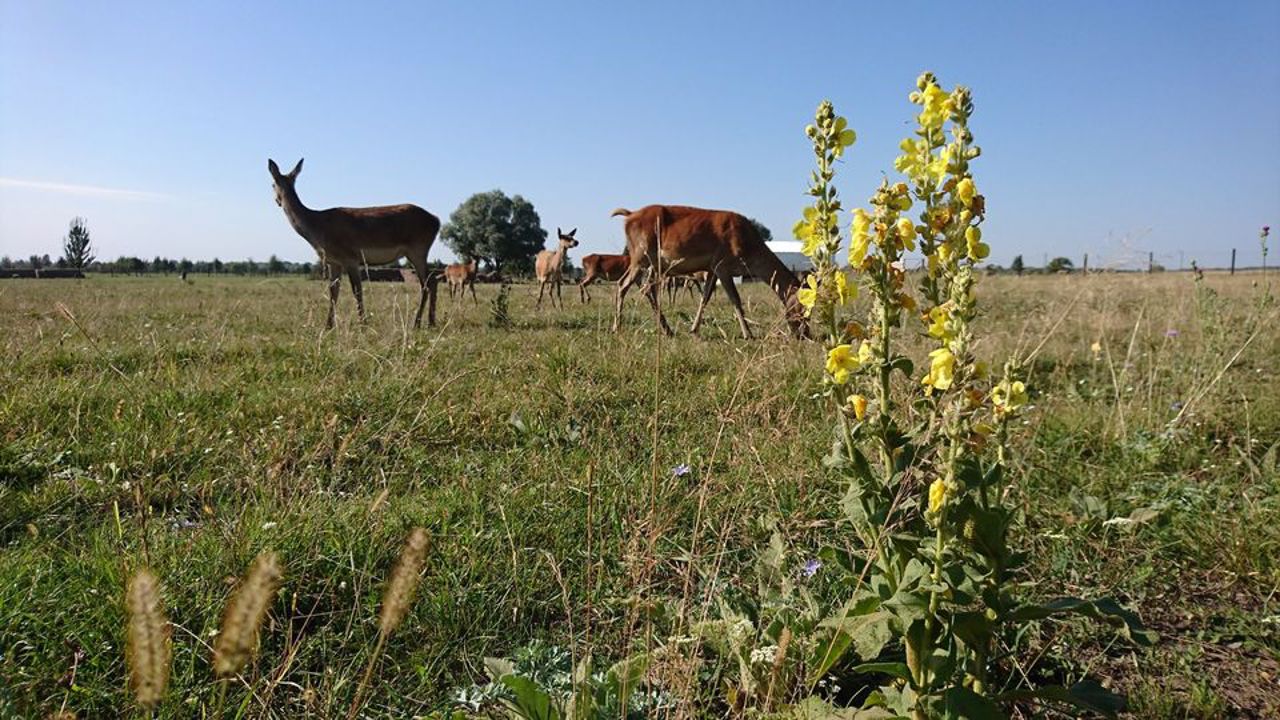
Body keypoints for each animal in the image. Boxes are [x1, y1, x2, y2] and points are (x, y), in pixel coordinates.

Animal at [266, 158, 440, 327]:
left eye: (272, 184)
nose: (277, 201)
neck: (318, 228)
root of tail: (436, 221)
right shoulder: (333, 261)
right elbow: (333, 291)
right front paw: (328, 326)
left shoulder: (350, 258)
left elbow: (357, 290)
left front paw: (363, 324)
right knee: (432, 281)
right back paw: (430, 322)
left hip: (417, 249)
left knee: (427, 283)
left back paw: (418, 323)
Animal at [611, 204, 808, 338]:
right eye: (802, 307)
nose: (805, 334)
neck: (749, 251)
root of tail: (629, 215)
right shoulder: (722, 265)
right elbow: (735, 299)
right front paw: (748, 334)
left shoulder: (712, 268)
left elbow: (705, 296)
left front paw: (694, 329)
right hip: (641, 255)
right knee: (624, 284)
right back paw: (616, 327)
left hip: (652, 263)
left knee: (646, 287)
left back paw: (667, 330)